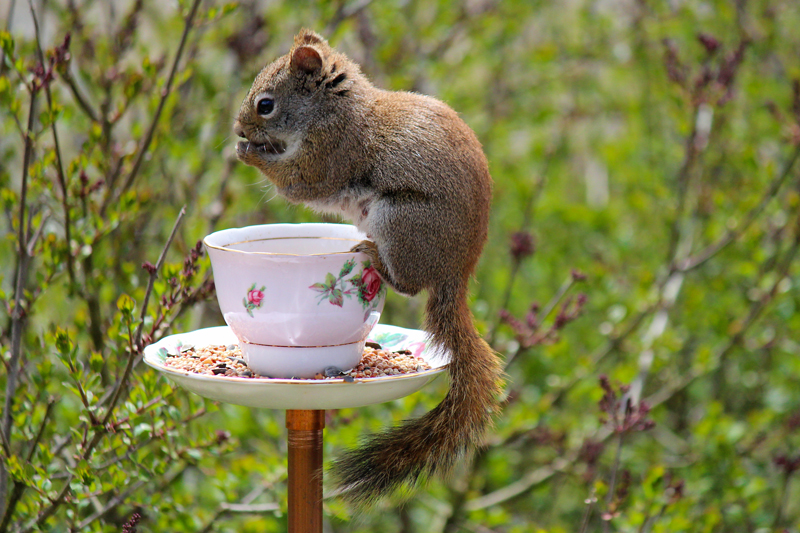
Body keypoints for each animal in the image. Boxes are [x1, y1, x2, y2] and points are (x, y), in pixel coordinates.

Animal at [234, 29, 504, 502]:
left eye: (265, 105)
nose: (239, 127)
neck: (334, 110)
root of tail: (456, 272)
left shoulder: (331, 153)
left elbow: (297, 183)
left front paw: (250, 151)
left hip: (399, 220)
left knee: (407, 283)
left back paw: (375, 255)